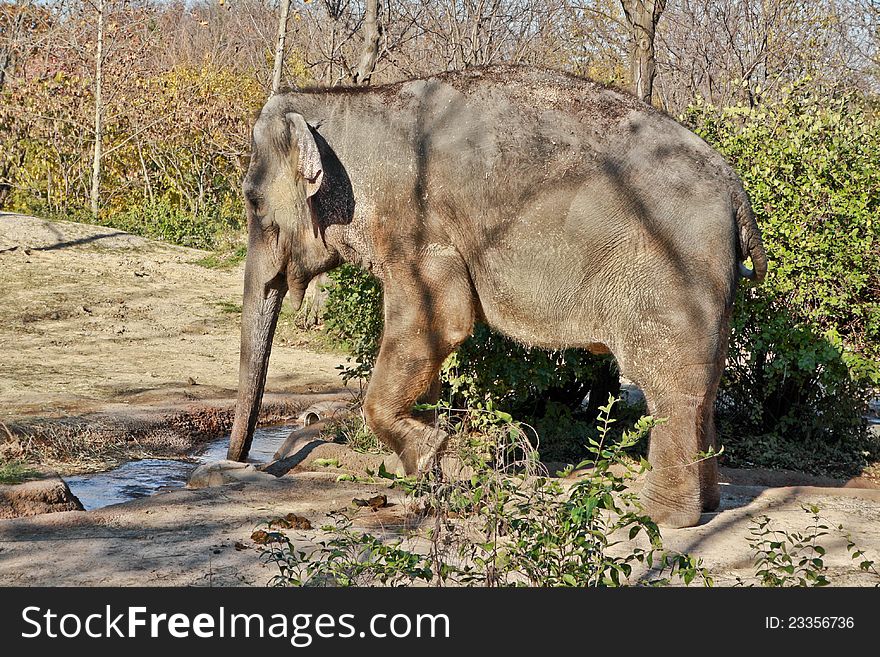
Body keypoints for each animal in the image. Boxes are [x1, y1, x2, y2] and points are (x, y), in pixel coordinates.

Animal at [229, 65, 768, 528]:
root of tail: (735, 189)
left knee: (670, 387)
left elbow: (442, 321)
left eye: (252, 201)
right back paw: (707, 505)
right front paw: (432, 469)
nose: (243, 464)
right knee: (705, 387)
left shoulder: (421, 231)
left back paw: (661, 517)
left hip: (672, 275)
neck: (347, 103)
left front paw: (436, 449)